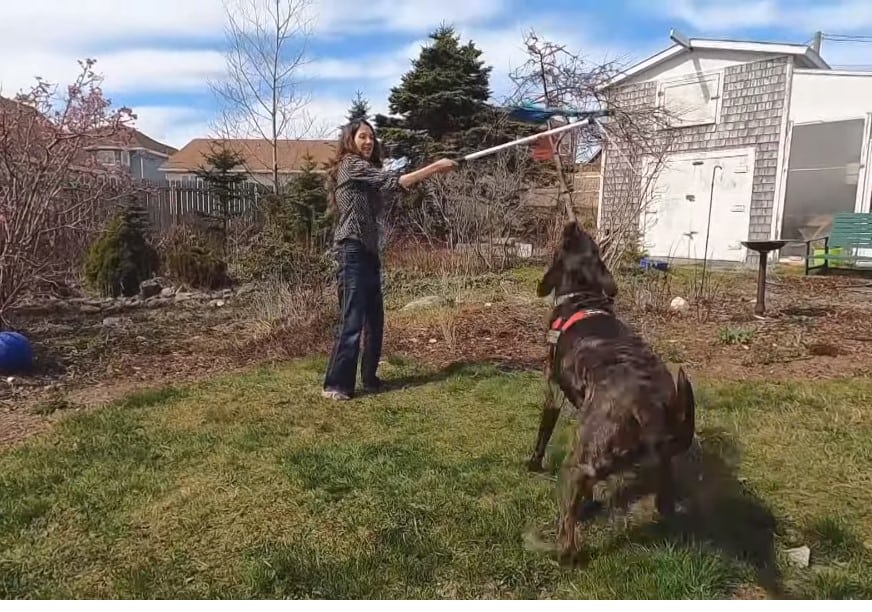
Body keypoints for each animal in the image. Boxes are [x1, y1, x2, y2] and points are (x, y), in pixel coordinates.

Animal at [528, 221, 692, 560]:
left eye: (563, 243)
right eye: (590, 242)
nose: (572, 222)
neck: (583, 296)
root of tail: (648, 406)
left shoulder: (552, 391)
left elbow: (542, 435)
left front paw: (533, 464)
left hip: (576, 463)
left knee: (568, 539)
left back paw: (555, 551)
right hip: (662, 464)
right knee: (664, 504)